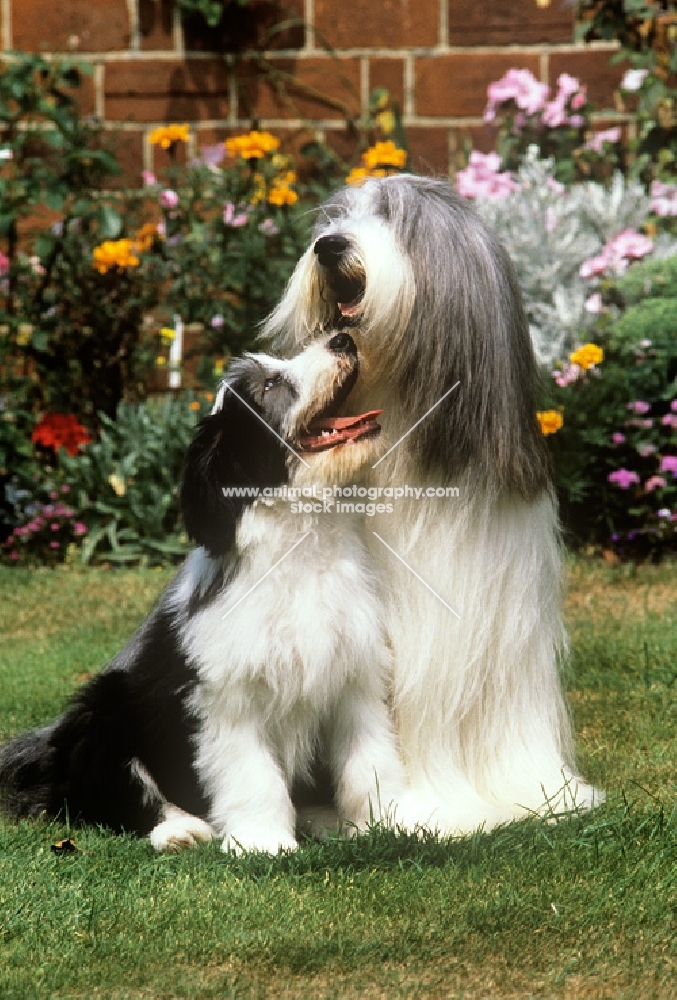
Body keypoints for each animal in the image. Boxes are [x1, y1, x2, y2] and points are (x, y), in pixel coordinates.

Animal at [0, 332, 406, 848]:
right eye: (270, 385)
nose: (343, 337)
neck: (301, 544)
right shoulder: (225, 696)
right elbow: (254, 774)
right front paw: (265, 844)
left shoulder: (356, 677)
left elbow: (369, 761)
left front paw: (390, 825)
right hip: (103, 712)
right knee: (111, 799)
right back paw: (181, 830)